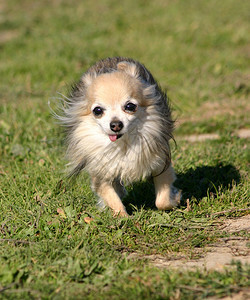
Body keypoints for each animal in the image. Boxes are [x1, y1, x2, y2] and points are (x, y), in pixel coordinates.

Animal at [59, 56, 181, 216]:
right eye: (97, 110)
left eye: (130, 106)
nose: (115, 124)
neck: (123, 144)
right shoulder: (101, 172)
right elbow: (112, 199)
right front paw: (123, 217)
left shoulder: (161, 163)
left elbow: (162, 201)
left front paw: (175, 199)